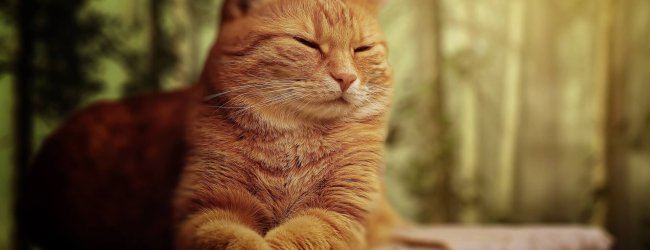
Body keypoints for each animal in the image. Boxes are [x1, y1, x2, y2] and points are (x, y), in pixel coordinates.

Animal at [19, 0, 446, 250]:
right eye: (305, 43)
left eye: (362, 49)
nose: (346, 77)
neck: (292, 139)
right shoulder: (206, 211)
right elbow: (237, 241)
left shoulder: (336, 214)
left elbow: (297, 236)